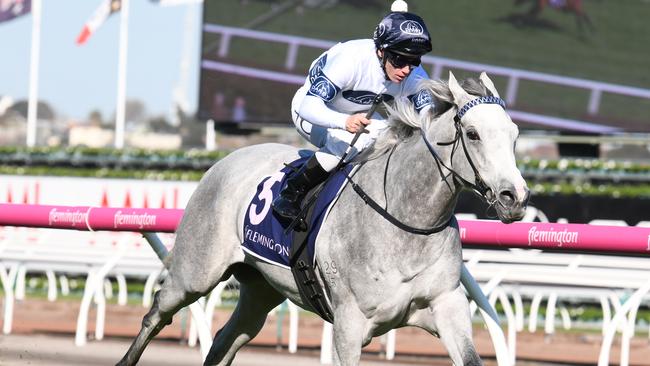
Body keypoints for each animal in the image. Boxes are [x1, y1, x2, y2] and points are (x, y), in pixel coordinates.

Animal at [117, 71, 528, 366]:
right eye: (472, 134)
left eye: (514, 134)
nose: (516, 197)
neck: (406, 220)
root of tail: (226, 159)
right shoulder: (349, 325)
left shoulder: (446, 306)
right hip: (194, 274)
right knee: (157, 315)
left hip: (260, 290)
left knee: (226, 340)